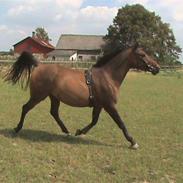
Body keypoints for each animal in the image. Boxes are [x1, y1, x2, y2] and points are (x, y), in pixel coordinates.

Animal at [5, 44, 159, 149]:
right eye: (142, 55)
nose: (157, 67)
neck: (107, 76)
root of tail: (38, 66)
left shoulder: (99, 105)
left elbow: (94, 121)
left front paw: (79, 132)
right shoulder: (109, 105)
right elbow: (120, 123)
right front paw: (133, 142)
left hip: (54, 97)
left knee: (54, 113)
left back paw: (67, 132)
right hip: (39, 96)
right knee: (25, 108)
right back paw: (17, 128)